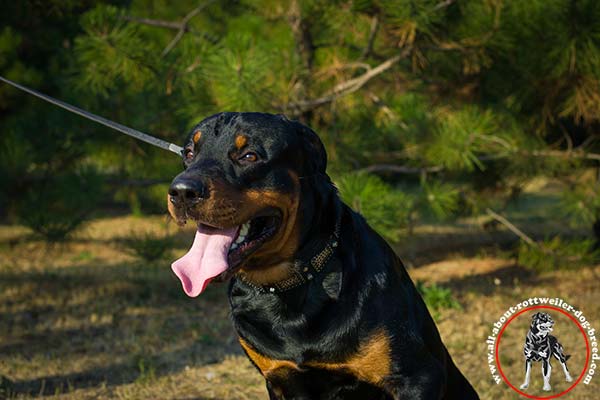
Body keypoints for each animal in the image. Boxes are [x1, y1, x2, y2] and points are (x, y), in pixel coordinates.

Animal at [168, 111, 478, 398]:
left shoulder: (417, 377)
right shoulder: (279, 379)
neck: (290, 285)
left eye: (249, 155)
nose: (181, 191)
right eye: (189, 153)